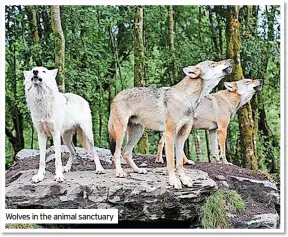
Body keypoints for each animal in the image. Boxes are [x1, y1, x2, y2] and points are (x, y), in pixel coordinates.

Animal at [108, 58, 232, 189]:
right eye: (212, 64)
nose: (230, 60)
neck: (187, 100)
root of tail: (116, 96)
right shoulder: (169, 135)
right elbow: (171, 162)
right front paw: (174, 181)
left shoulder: (182, 136)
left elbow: (179, 163)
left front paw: (184, 179)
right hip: (121, 132)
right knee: (116, 153)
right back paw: (120, 172)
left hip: (137, 132)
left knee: (126, 153)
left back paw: (137, 170)